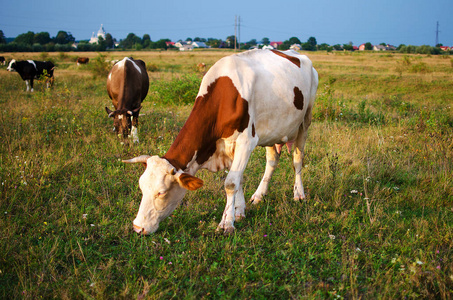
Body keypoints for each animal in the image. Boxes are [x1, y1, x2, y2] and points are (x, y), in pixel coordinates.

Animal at [122, 49, 316, 234]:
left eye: (161, 192)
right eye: (141, 187)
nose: (138, 227)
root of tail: (297, 54)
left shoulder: (246, 142)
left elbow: (231, 183)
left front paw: (226, 223)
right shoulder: (226, 146)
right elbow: (239, 179)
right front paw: (239, 211)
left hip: (305, 121)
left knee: (297, 160)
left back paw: (299, 194)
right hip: (272, 131)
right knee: (272, 161)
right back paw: (259, 195)